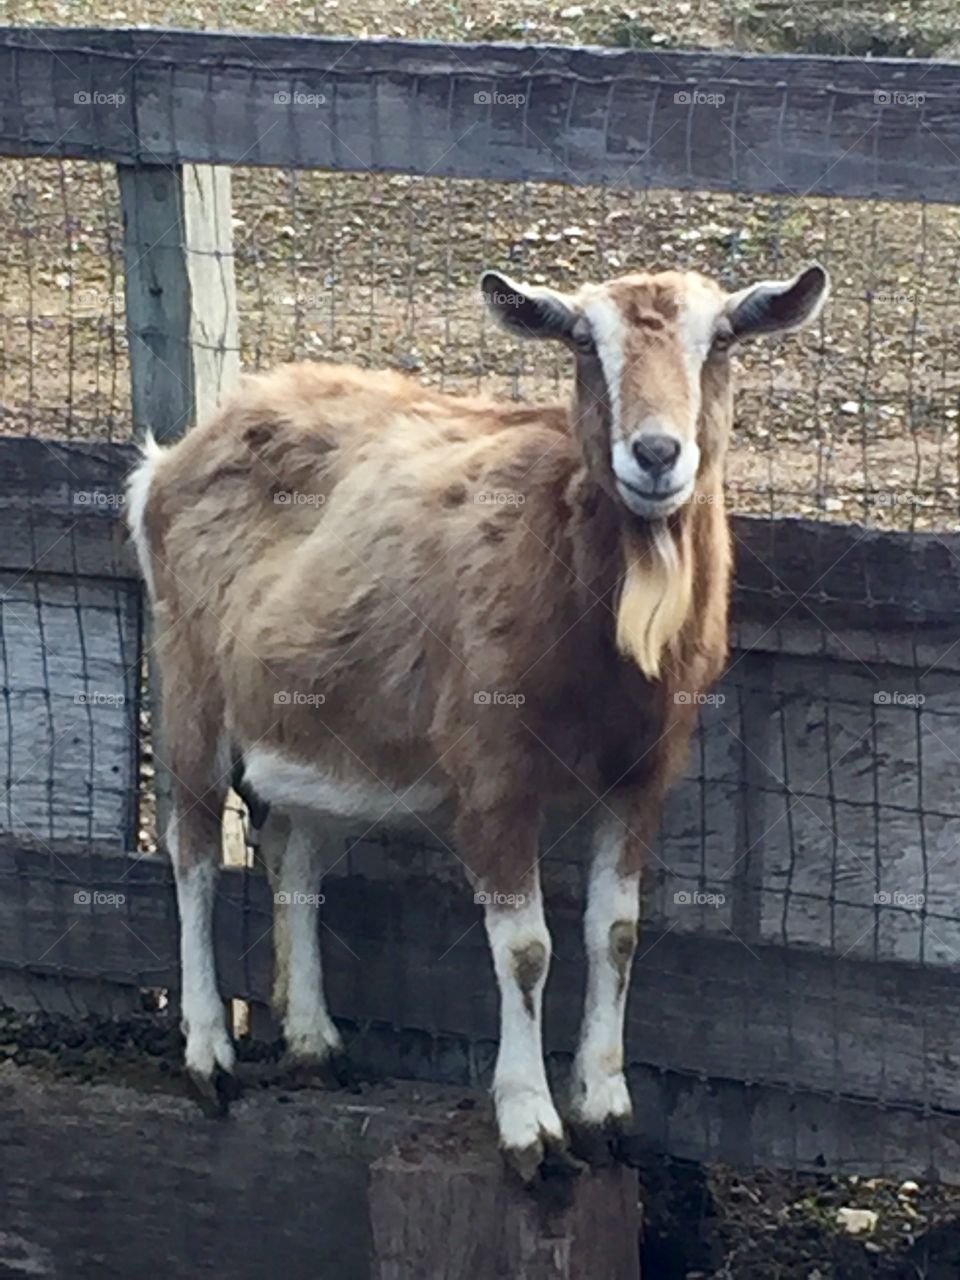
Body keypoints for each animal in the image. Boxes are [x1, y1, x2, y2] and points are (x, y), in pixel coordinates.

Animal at [127, 262, 829, 1179]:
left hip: (314, 720)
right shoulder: (494, 772)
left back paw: (315, 1043)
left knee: (294, 854)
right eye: (583, 343)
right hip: (189, 685)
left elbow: (616, 933)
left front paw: (606, 1110)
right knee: (195, 853)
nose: (655, 455)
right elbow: (525, 948)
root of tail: (169, 460)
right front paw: (532, 1129)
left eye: (721, 340)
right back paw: (209, 1056)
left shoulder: (643, 773)